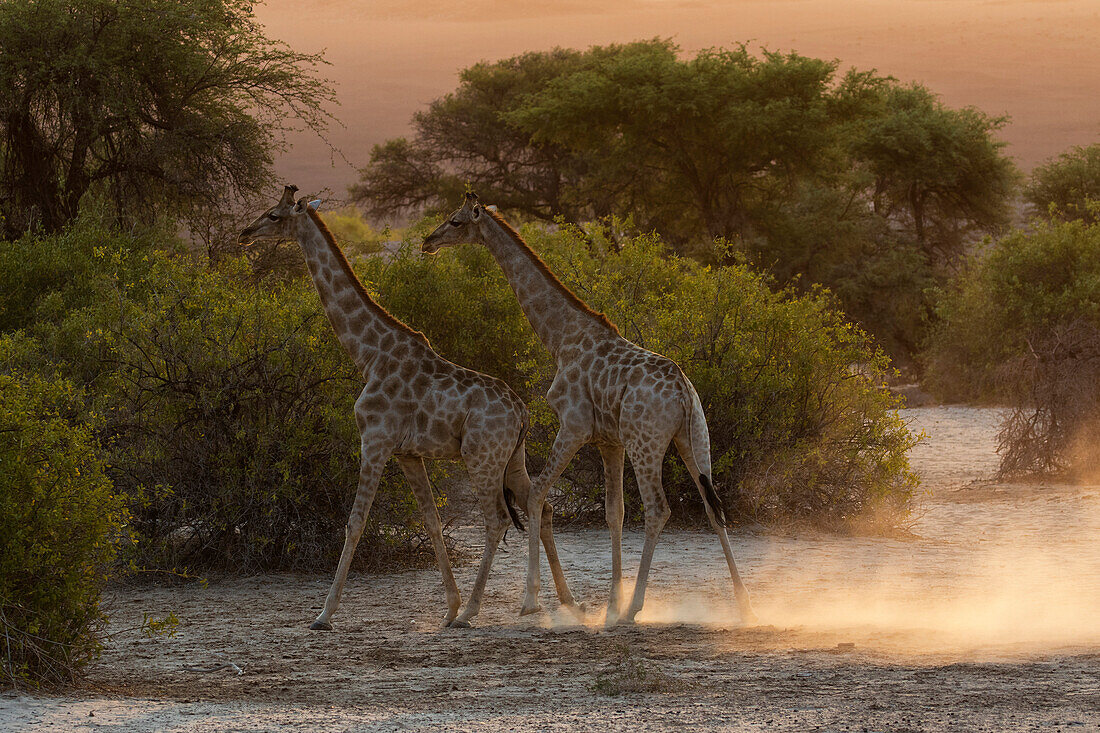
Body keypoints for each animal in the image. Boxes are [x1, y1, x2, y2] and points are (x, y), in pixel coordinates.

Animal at [239, 186, 580, 625]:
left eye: (274, 215)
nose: (245, 233)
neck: (369, 354)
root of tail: (522, 413)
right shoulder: (408, 453)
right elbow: (432, 521)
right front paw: (448, 605)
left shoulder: (375, 440)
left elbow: (355, 522)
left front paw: (324, 615)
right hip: (513, 458)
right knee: (542, 504)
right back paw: (559, 600)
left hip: (481, 457)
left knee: (497, 520)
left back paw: (475, 611)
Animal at [420, 192, 756, 620]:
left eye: (456, 220)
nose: (427, 242)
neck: (561, 337)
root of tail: (683, 391)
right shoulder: (609, 441)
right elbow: (615, 513)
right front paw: (610, 603)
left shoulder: (574, 425)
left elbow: (537, 495)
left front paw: (532, 600)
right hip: (693, 437)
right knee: (714, 508)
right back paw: (745, 606)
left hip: (647, 444)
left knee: (659, 509)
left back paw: (637, 607)